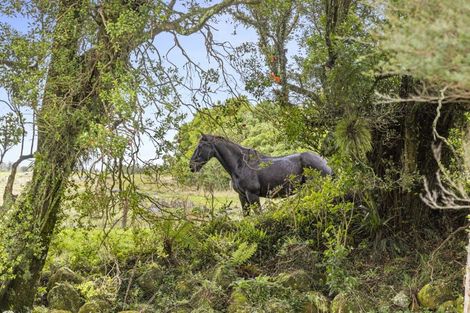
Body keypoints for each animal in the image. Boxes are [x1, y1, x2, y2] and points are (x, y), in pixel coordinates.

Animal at [189, 134, 332, 214]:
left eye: (200, 146)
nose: (191, 165)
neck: (240, 164)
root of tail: (325, 161)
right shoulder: (242, 196)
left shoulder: (252, 195)